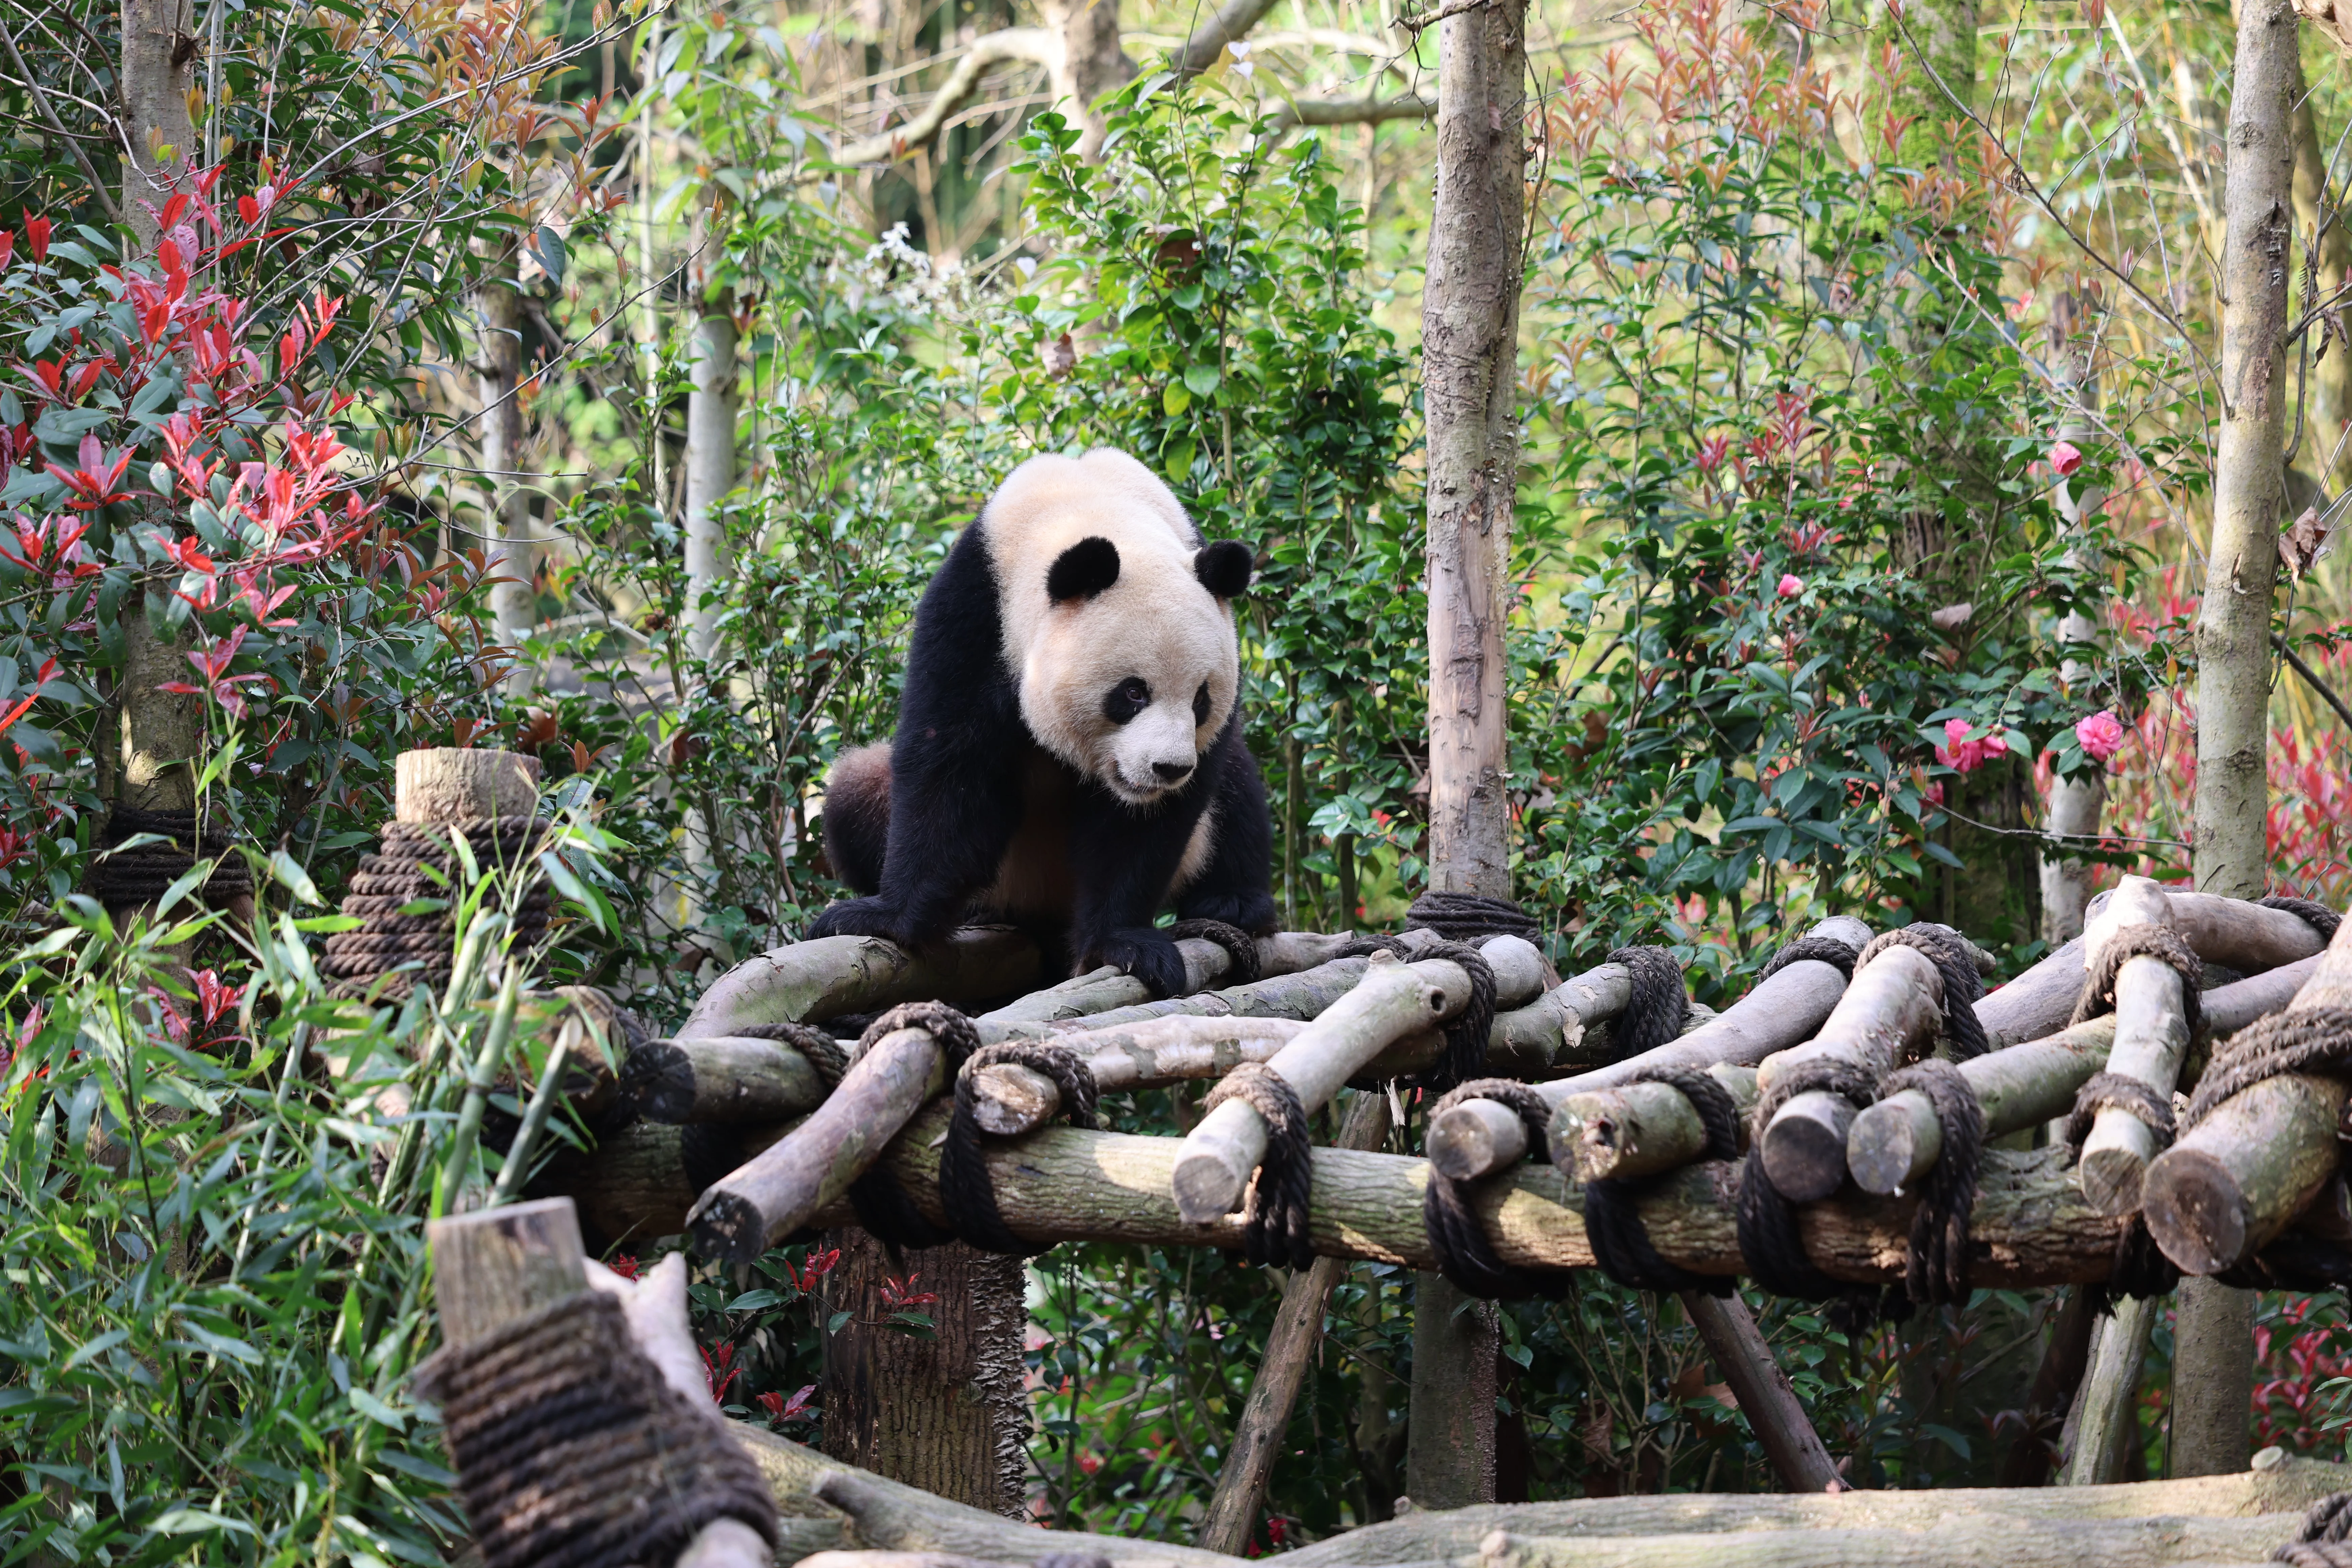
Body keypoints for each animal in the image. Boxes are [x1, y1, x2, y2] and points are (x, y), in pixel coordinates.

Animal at [808, 448, 1277, 997]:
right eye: (1133, 693)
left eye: (1201, 699)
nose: (1167, 769)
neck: (1085, 502)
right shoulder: (976, 614)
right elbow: (951, 768)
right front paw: (885, 918)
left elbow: (1144, 827)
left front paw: (1120, 943)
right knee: (855, 789)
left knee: (1236, 787)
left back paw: (1235, 903)